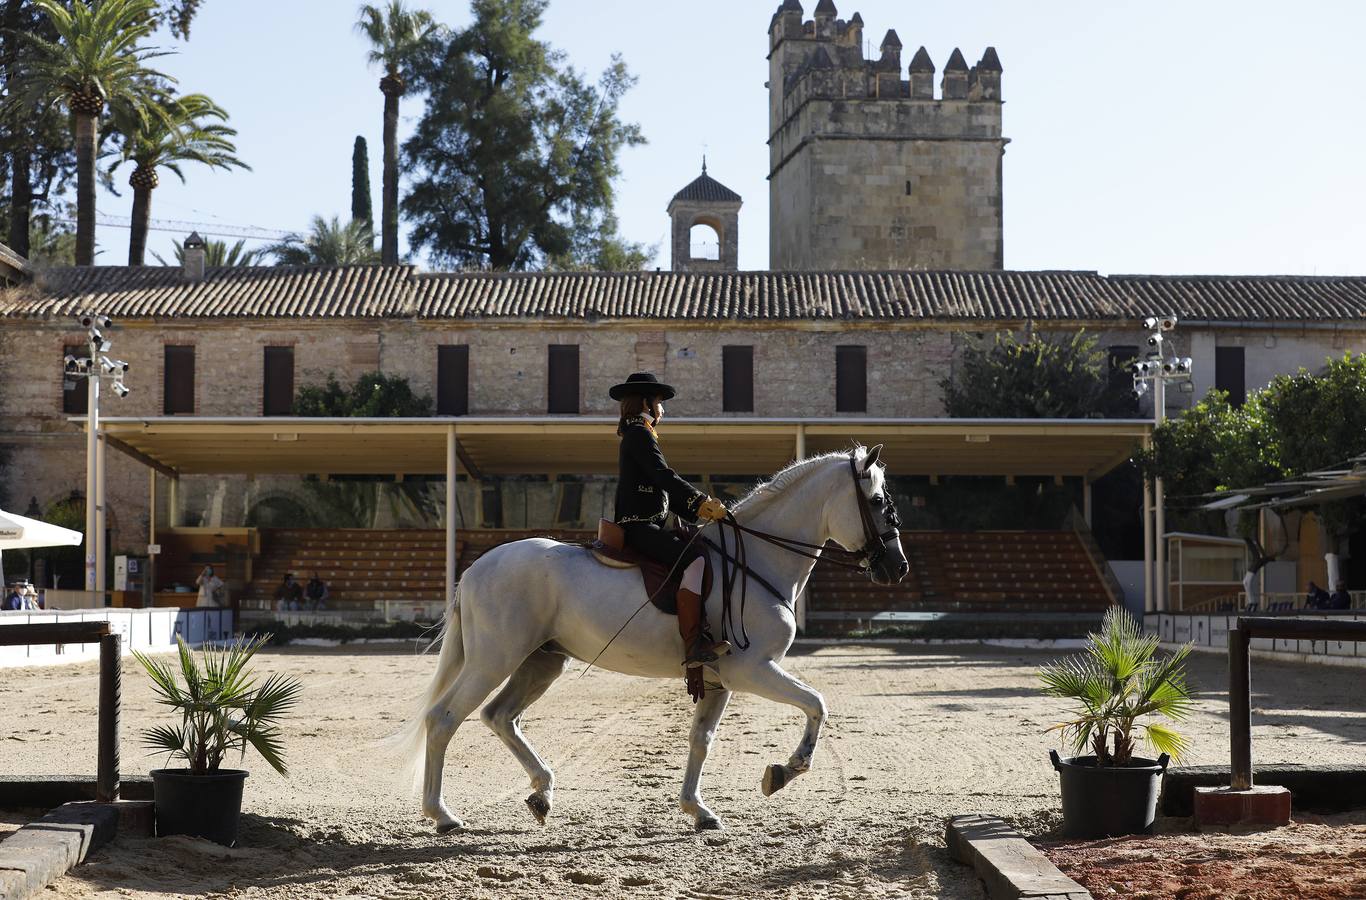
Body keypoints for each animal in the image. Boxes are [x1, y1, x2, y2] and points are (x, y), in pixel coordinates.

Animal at [396, 442, 907, 830]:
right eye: (878, 502)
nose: (897, 567)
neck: (756, 562)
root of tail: (477, 567)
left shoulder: (718, 680)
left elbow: (701, 739)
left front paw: (698, 811)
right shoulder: (751, 670)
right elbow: (816, 703)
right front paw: (786, 770)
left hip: (540, 661)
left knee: (500, 716)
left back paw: (542, 792)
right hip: (494, 660)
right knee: (444, 719)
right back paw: (442, 815)